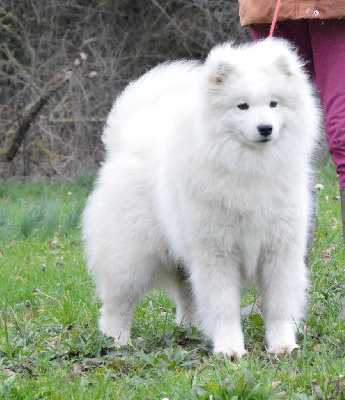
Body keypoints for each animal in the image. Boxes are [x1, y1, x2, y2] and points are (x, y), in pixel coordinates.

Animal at [82, 39, 318, 358]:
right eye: (242, 106)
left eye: (273, 103)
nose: (265, 128)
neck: (250, 169)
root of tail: (127, 139)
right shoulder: (217, 253)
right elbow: (224, 306)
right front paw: (230, 348)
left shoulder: (280, 251)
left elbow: (279, 306)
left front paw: (282, 345)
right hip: (131, 258)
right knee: (117, 304)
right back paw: (116, 341)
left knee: (187, 296)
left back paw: (192, 330)